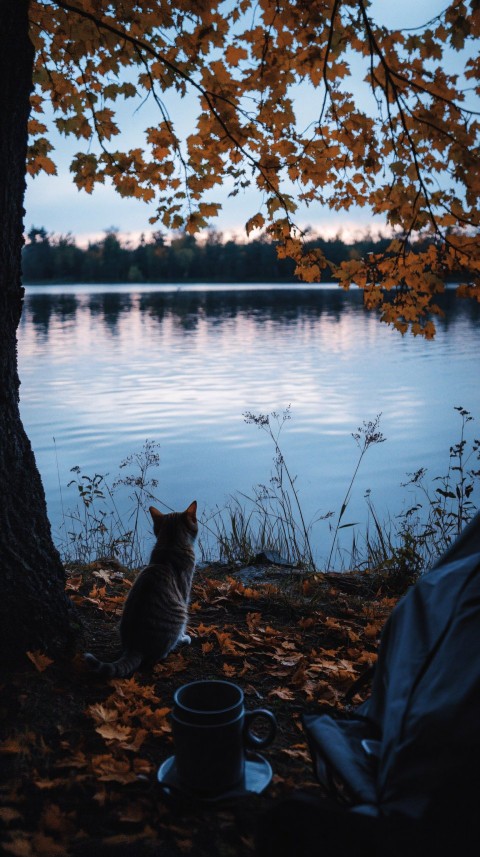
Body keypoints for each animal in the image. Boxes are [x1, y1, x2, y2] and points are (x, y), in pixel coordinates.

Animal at [85, 498, 198, 680]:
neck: (171, 544)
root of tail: (134, 646)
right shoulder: (184, 593)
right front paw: (184, 637)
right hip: (180, 614)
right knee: (159, 654)